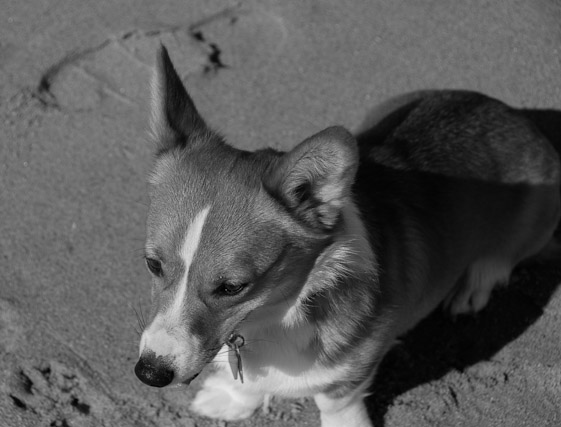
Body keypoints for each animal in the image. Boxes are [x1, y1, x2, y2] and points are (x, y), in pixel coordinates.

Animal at [133, 45, 556, 426]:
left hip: (538, 216)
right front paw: (233, 399)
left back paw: (473, 286)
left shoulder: (353, 368)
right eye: (152, 264)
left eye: (232, 287)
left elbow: (336, 403)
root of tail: (514, 115)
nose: (150, 374)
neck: (276, 311)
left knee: (502, 256)